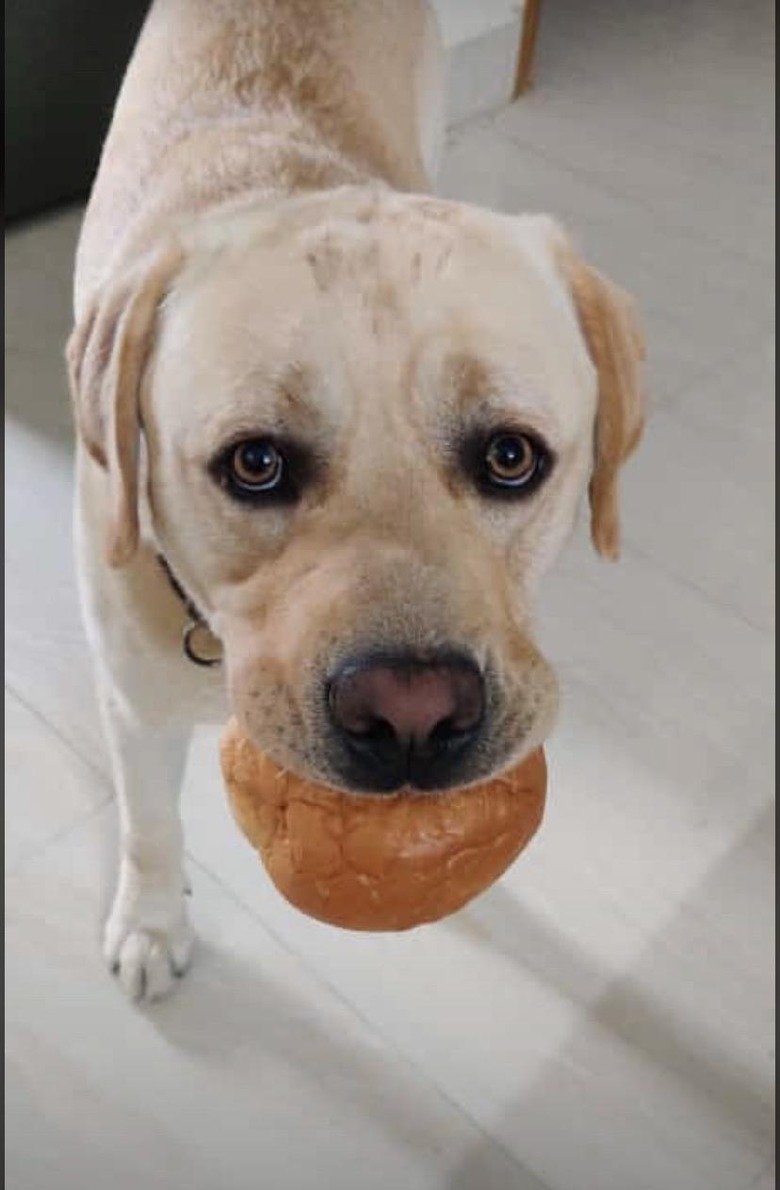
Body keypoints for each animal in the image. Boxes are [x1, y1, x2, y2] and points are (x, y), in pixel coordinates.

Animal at [67, 0, 643, 1004]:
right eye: (255, 463)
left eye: (511, 457)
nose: (413, 718)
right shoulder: (131, 704)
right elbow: (148, 826)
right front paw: (151, 923)